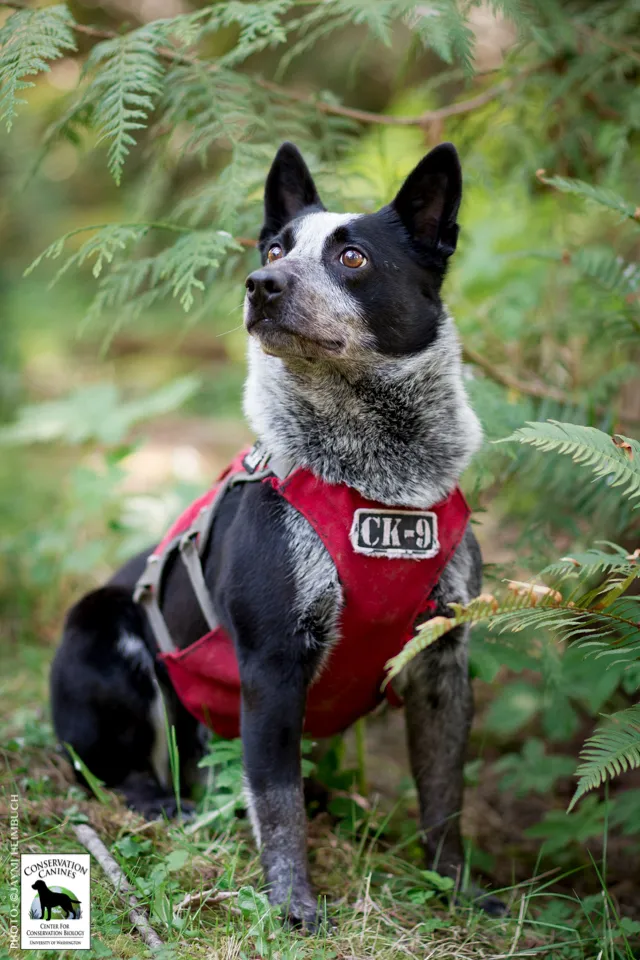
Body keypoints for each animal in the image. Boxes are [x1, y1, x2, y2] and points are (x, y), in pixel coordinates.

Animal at [52, 139, 500, 928]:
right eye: (274, 248)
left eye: (352, 257)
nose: (260, 284)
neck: (375, 475)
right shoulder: (272, 663)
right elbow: (277, 802)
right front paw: (294, 908)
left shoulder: (442, 664)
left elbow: (444, 798)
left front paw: (458, 889)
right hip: (102, 627)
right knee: (117, 768)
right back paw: (162, 803)